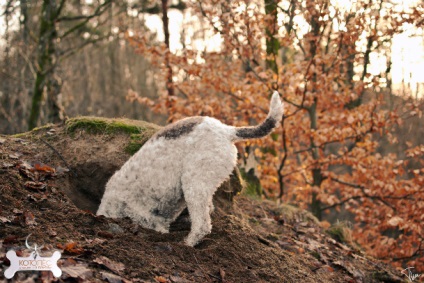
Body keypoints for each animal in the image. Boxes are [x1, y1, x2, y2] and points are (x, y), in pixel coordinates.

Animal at [98, 92, 284, 247]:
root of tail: (227, 131)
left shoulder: (146, 217)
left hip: (194, 183)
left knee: (202, 225)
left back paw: (187, 244)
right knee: (208, 211)